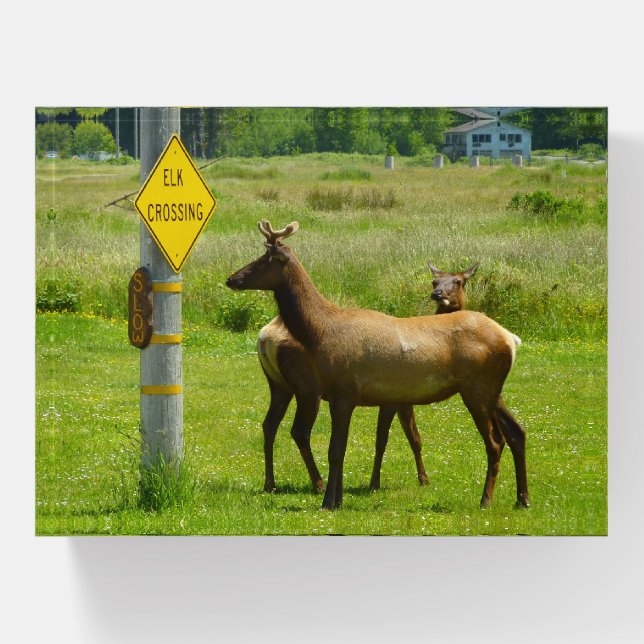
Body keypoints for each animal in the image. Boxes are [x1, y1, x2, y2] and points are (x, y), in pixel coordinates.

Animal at [255, 259, 480, 495]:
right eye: (434, 281)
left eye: (458, 281)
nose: (438, 294)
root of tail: (265, 337)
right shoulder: (392, 399)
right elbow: (384, 439)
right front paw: (378, 483)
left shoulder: (404, 398)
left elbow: (414, 437)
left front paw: (422, 479)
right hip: (307, 387)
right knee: (299, 431)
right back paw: (318, 484)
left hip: (279, 385)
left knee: (269, 424)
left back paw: (270, 483)